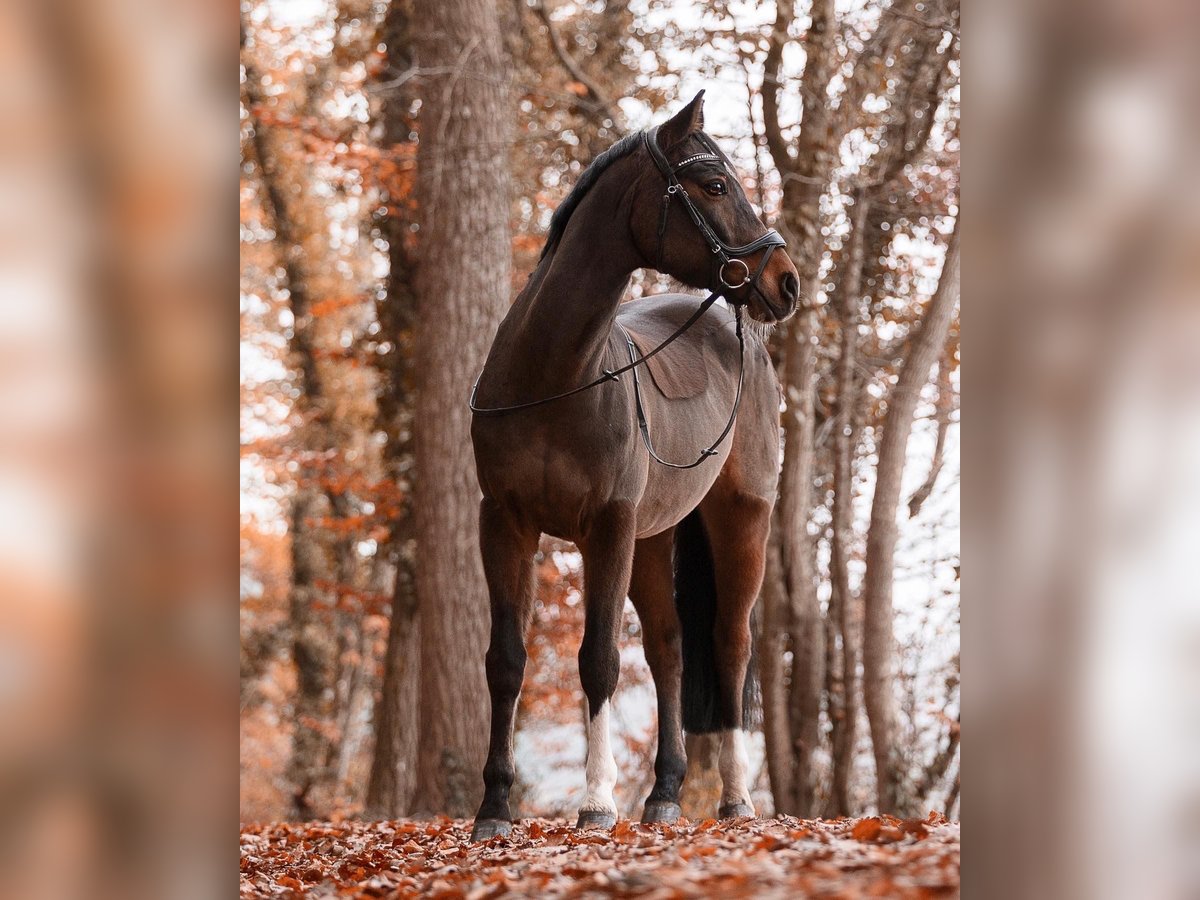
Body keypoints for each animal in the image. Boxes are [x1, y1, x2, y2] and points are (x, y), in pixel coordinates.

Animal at [468, 88, 796, 844]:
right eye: (715, 185)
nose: (787, 281)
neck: (554, 375)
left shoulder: (607, 526)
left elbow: (597, 659)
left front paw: (595, 804)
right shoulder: (505, 523)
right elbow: (506, 661)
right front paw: (494, 808)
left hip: (742, 521)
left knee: (729, 645)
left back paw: (735, 800)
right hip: (654, 536)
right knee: (671, 650)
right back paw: (665, 794)